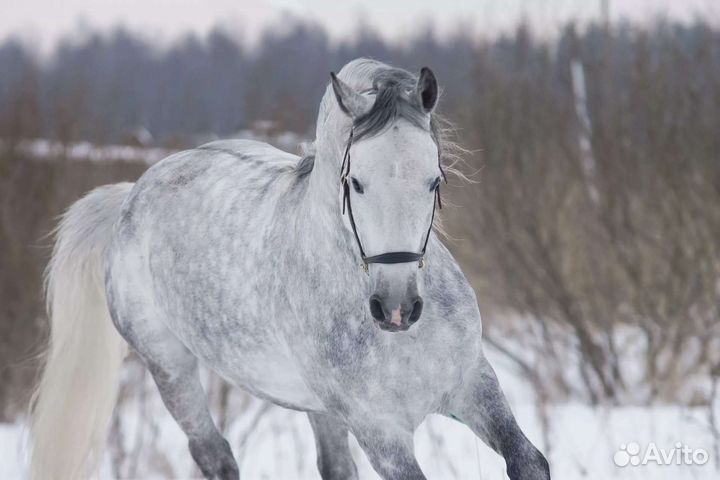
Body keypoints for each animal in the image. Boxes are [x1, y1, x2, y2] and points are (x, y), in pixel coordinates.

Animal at [30, 58, 550, 480]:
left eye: (435, 180)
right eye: (355, 182)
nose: (397, 309)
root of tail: (131, 195)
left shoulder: (473, 385)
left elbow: (530, 462)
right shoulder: (381, 431)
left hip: (319, 407)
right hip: (169, 368)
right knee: (214, 455)